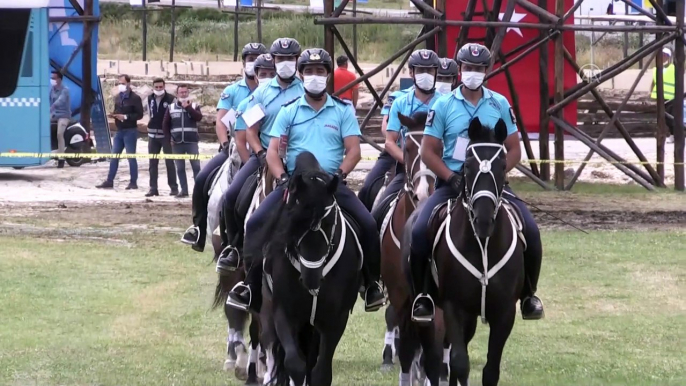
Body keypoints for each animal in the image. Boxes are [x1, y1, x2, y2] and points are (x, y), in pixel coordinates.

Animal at [260, 152, 362, 384]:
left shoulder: (335, 319)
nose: (311, 279)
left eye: (329, 223)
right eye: (293, 223)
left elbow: (321, 372)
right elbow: (294, 365)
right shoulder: (284, 312)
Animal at [430, 117, 528, 386]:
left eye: (503, 166)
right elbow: (459, 363)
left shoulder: (505, 312)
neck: (483, 243)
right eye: (467, 165)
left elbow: (491, 370)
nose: (483, 221)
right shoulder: (453, 307)